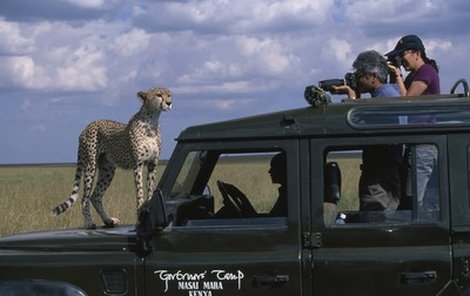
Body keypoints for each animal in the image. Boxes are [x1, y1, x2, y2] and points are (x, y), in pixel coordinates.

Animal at [51, 87, 173, 229]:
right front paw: (140, 216)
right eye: (158, 95)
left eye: (169, 95)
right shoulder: (138, 164)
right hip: (90, 166)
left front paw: (150, 211)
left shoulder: (153, 164)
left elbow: (150, 189)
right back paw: (89, 223)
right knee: (84, 198)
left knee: (95, 196)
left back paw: (108, 220)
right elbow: (140, 192)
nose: (169, 103)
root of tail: (87, 126)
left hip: (108, 169)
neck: (152, 122)